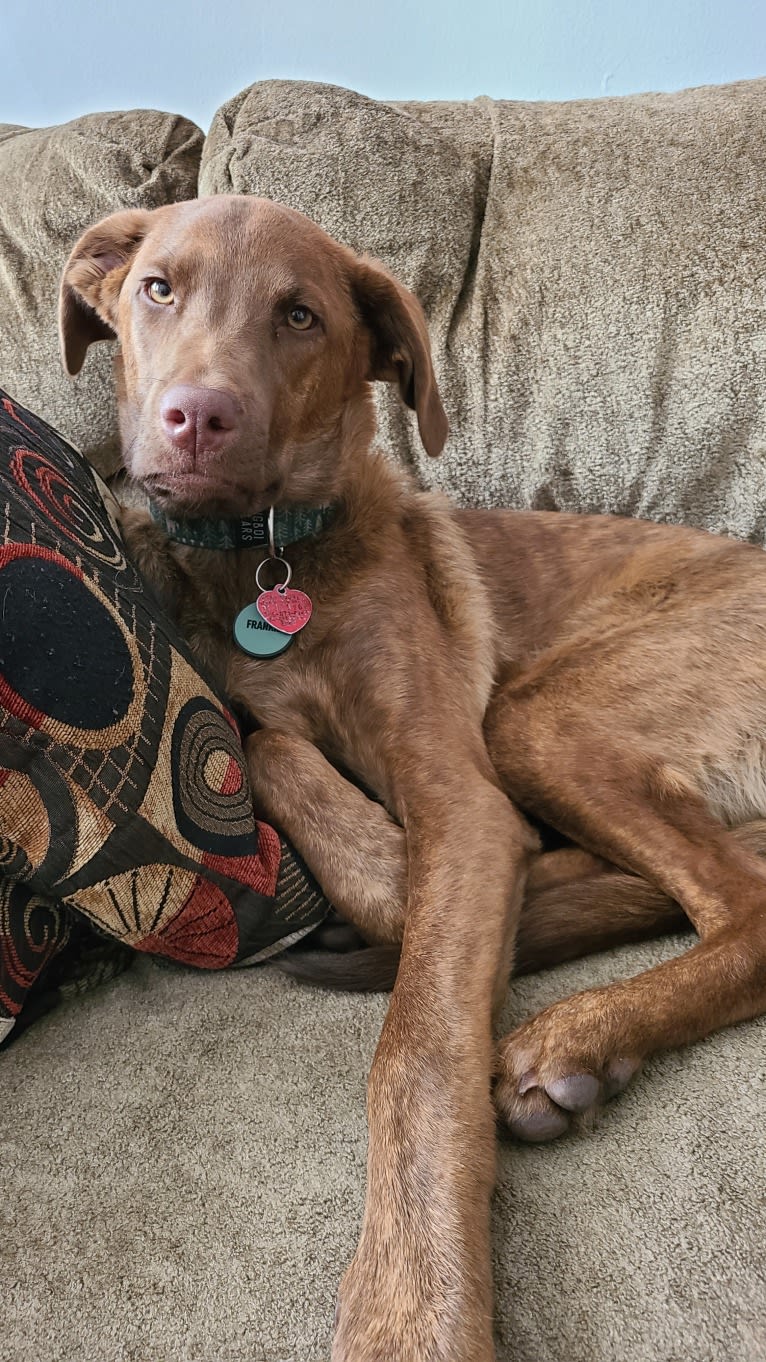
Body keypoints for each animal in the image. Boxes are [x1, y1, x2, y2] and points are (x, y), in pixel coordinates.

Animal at [60, 194, 766, 1362]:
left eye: (300, 315)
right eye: (158, 287)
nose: (196, 418)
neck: (272, 563)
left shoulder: (460, 798)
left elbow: (419, 1051)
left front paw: (411, 1308)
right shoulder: (289, 727)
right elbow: (266, 746)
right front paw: (387, 875)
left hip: (541, 714)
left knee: (741, 904)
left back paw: (578, 1033)